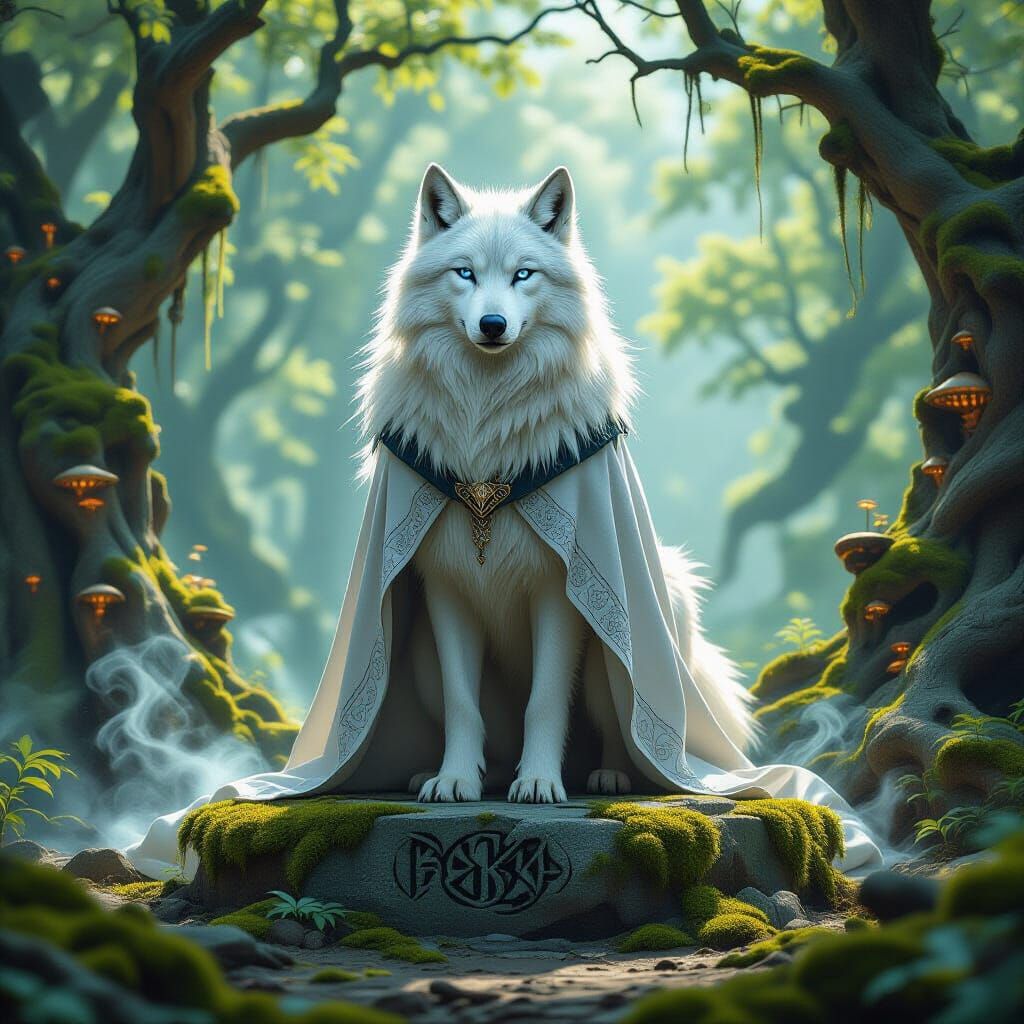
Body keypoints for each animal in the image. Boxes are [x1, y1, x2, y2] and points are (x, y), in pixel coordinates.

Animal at [356, 164, 754, 803]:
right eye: (465, 273)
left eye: (524, 274)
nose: (493, 325)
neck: (486, 439)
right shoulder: (447, 588)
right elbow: (466, 706)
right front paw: (455, 779)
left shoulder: (561, 587)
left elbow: (544, 701)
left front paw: (540, 782)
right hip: (418, 657)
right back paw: (459, 773)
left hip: (631, 631)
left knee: (618, 726)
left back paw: (609, 775)